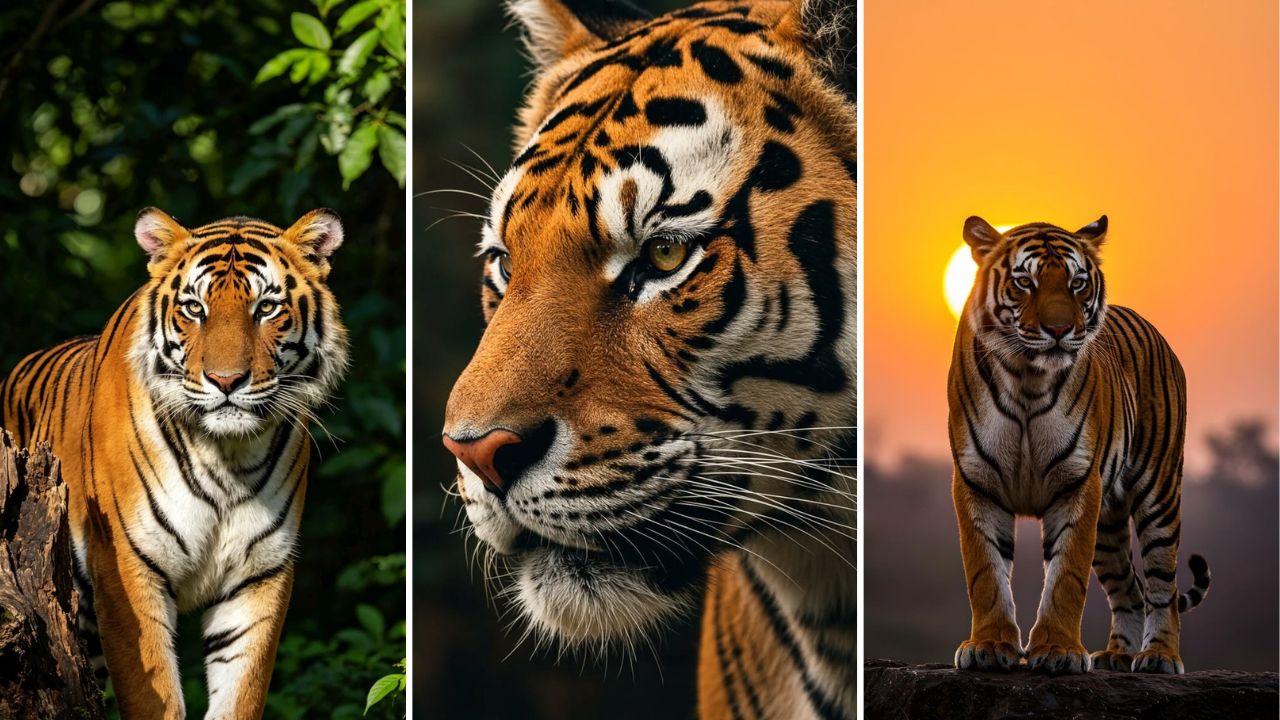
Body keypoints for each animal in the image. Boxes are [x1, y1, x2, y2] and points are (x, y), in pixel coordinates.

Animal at [0, 208, 348, 719]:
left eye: (266, 308)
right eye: (194, 309)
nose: (226, 380)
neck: (227, 458)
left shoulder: (259, 575)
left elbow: (242, 693)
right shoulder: (127, 567)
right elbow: (153, 695)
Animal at [948, 214, 1212, 676]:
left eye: (1077, 284)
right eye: (1025, 282)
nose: (1059, 330)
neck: (1026, 378)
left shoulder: (1077, 485)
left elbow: (1066, 578)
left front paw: (1057, 651)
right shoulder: (976, 481)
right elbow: (986, 573)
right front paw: (989, 647)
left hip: (1159, 495)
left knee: (1161, 586)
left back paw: (1159, 656)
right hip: (1107, 525)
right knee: (1129, 590)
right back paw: (1116, 656)